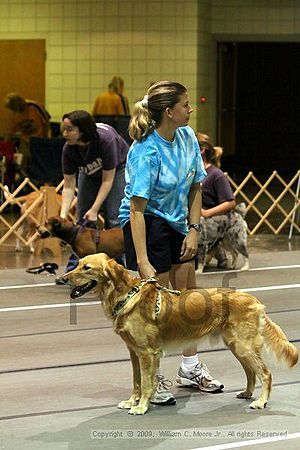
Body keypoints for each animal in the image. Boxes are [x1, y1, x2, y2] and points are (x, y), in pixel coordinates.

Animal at [65, 253, 298, 414]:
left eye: (86, 268)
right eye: (77, 264)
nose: (63, 278)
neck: (126, 296)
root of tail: (254, 300)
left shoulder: (147, 353)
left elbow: (146, 383)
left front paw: (141, 407)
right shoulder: (133, 352)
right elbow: (137, 381)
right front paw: (132, 401)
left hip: (243, 346)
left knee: (265, 373)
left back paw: (261, 401)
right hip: (236, 346)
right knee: (251, 372)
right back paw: (247, 393)